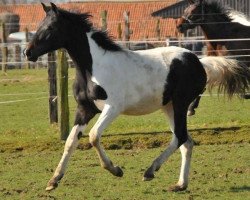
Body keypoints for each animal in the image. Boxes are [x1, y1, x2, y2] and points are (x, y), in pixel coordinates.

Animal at [23, 2, 250, 192]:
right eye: (40, 25)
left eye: (50, 28)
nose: (28, 52)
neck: (93, 68)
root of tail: (199, 61)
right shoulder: (85, 109)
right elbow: (71, 141)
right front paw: (53, 180)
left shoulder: (113, 107)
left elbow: (94, 136)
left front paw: (115, 169)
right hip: (169, 106)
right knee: (186, 141)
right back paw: (179, 185)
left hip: (180, 103)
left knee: (181, 137)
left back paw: (150, 171)